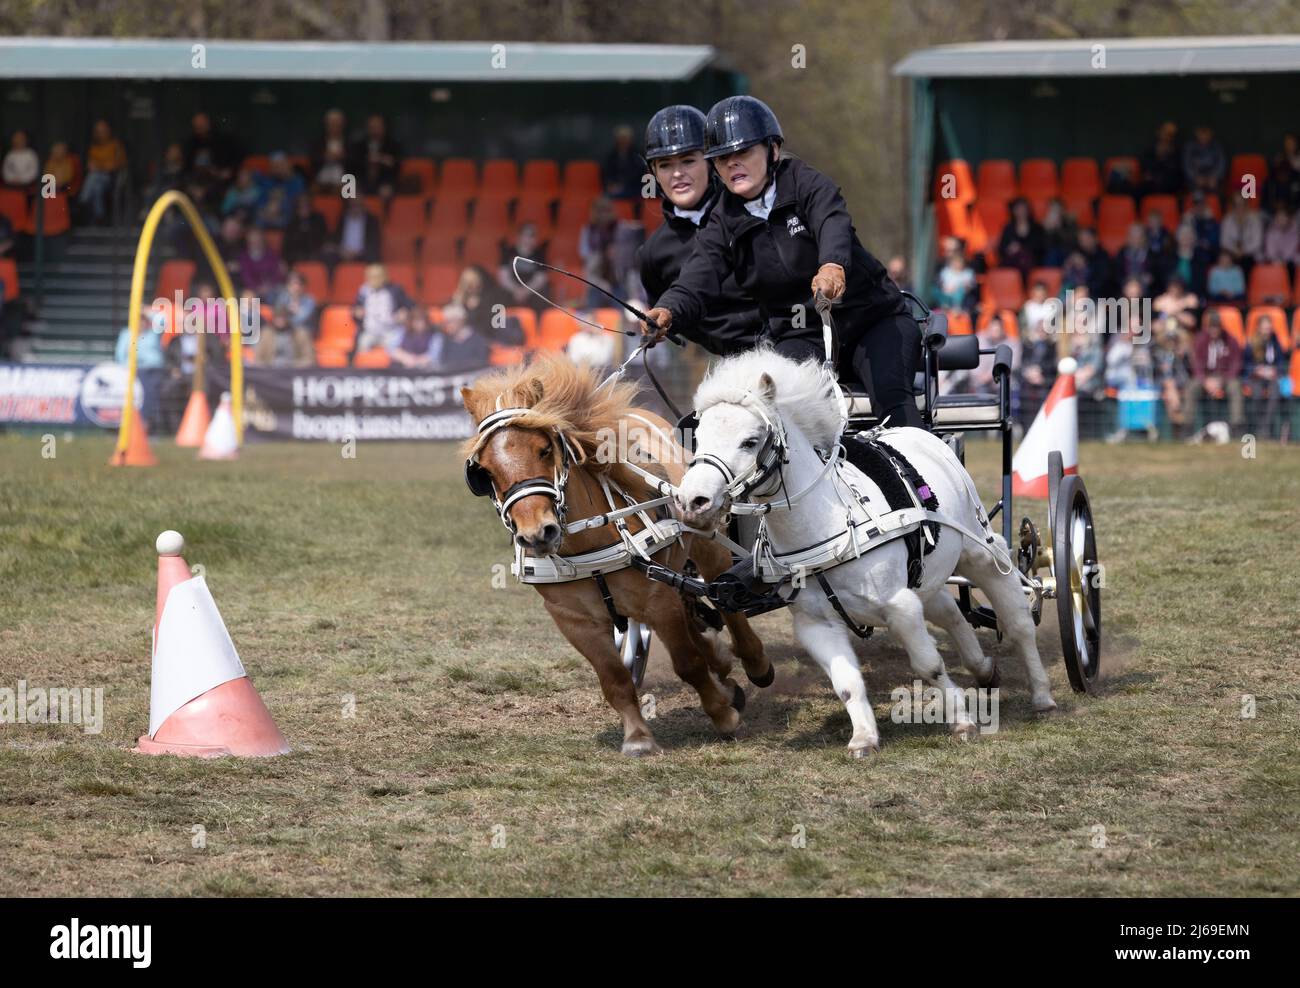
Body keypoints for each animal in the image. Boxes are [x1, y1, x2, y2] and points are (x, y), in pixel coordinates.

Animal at [462, 351, 764, 754]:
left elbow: (688, 663)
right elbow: (615, 679)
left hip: (707, 544)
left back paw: (755, 663)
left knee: (727, 605)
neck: (589, 544)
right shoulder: (574, 621)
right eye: (484, 472)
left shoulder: (657, 601)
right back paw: (725, 672)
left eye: (545, 449)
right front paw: (637, 736)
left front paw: (722, 716)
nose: (537, 534)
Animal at [676, 348, 1060, 754]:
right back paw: (983, 668)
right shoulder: (815, 624)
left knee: (1017, 620)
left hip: (980, 551)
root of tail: (917, 432)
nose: (692, 501)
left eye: (749, 441)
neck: (827, 529)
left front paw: (961, 720)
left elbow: (929, 665)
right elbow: (846, 683)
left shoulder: (899, 605)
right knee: (951, 612)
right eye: (698, 437)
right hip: (927, 576)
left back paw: (1042, 696)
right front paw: (864, 737)